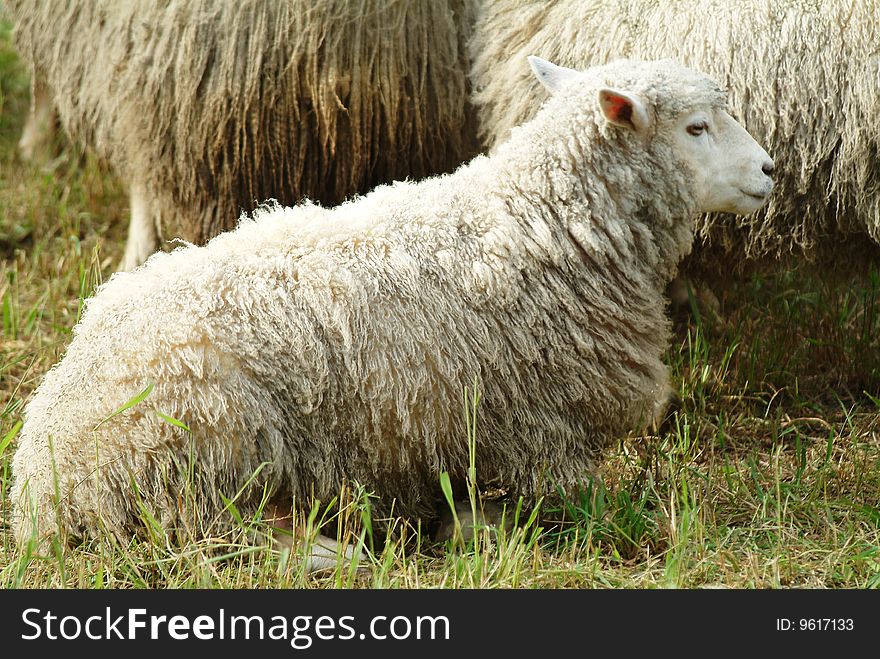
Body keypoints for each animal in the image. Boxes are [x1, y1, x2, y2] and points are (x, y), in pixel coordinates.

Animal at [10, 55, 772, 552]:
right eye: (697, 128)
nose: (769, 170)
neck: (544, 220)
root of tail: (39, 479)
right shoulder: (544, 429)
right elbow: (584, 505)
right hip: (200, 444)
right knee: (212, 540)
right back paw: (334, 553)